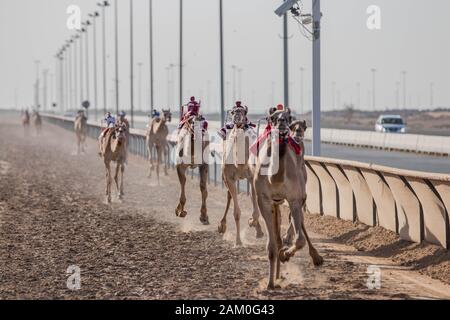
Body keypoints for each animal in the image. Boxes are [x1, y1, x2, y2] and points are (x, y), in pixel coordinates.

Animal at [217, 107, 264, 245]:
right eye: (233, 112)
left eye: (244, 111)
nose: (237, 117)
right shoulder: (229, 178)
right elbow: (237, 212)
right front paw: (238, 241)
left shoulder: (252, 177)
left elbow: (255, 210)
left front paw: (253, 224)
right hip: (226, 177)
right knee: (229, 196)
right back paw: (222, 226)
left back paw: (258, 229)